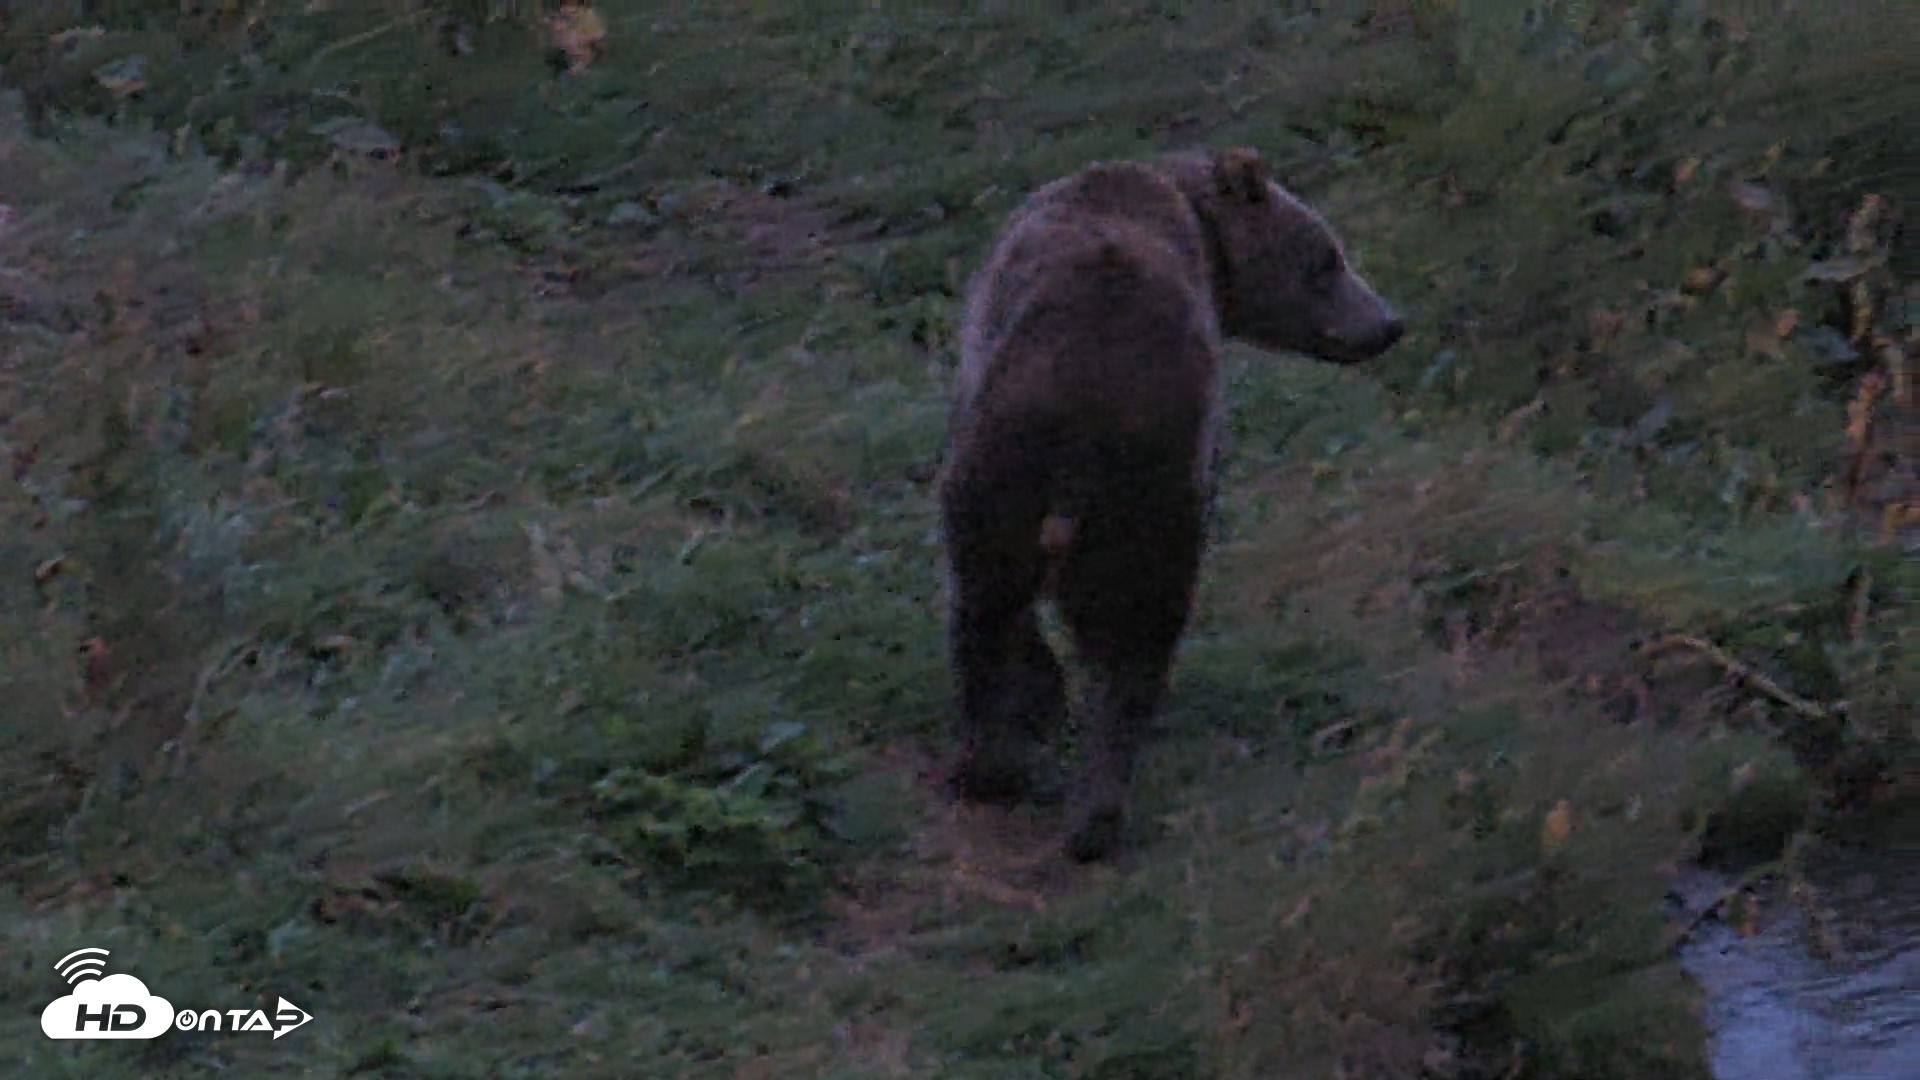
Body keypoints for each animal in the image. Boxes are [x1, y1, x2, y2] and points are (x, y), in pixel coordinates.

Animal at [940, 145, 1405, 861]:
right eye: (1327, 257)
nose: (1387, 323)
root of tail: (1093, 409)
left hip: (1056, 460)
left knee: (1024, 607)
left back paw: (1019, 775)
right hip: (1121, 480)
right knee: (1111, 621)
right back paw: (1061, 797)